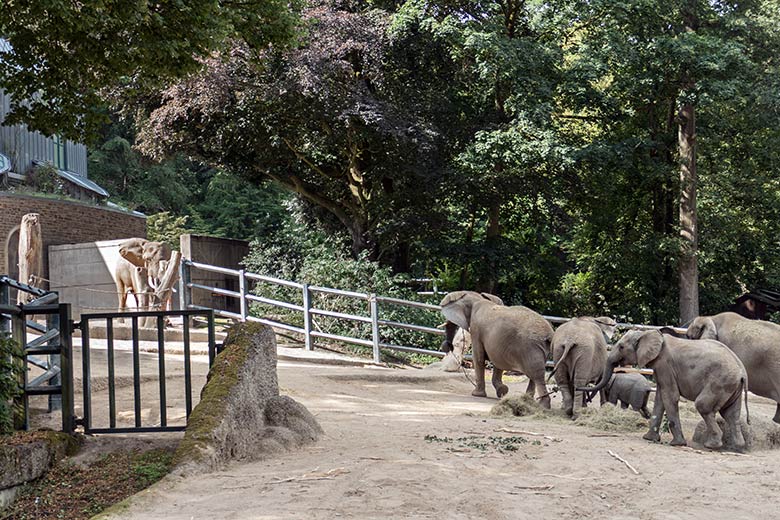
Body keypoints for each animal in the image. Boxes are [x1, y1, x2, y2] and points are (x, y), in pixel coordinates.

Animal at [580, 332, 748, 448]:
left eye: (621, 347)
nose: (580, 386)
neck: (647, 334)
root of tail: (742, 372)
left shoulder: (664, 365)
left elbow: (670, 396)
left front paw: (677, 444)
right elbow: (660, 399)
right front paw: (648, 438)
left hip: (720, 382)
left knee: (703, 406)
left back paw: (711, 445)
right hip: (732, 387)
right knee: (731, 413)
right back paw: (737, 447)